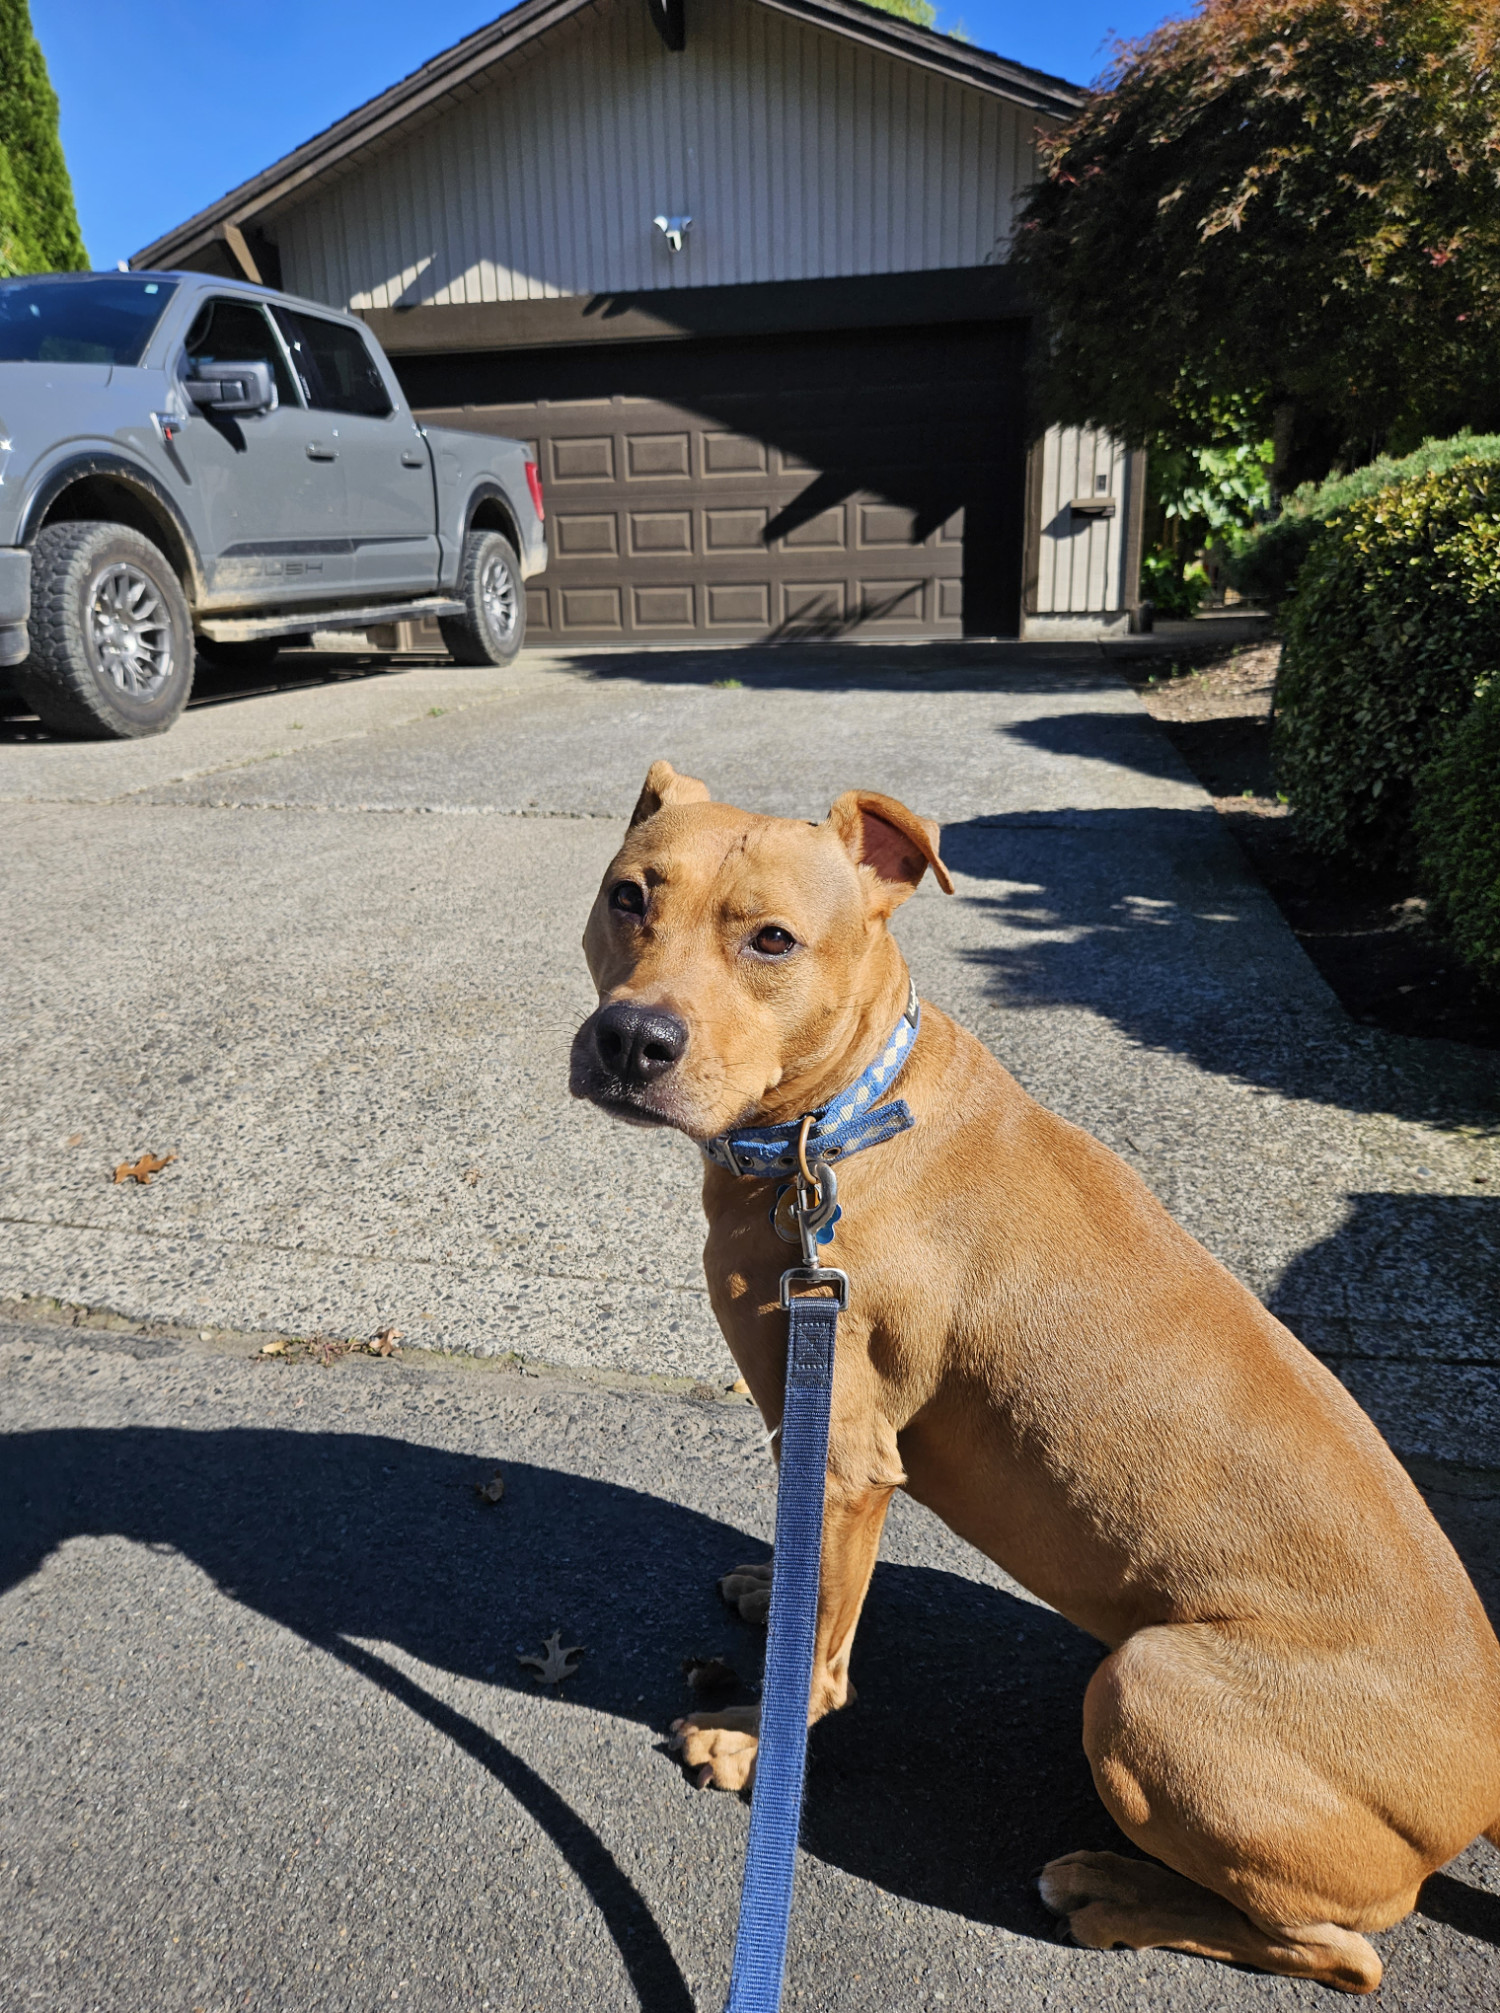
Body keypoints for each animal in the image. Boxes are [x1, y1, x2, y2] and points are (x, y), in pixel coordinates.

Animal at [563, 760, 1497, 1988]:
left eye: (772, 939)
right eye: (628, 895)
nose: (633, 1039)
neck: (840, 1125)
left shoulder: (850, 1453)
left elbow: (818, 1661)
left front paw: (754, 1738)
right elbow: (813, 1591)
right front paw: (775, 1588)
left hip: (1146, 1688)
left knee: (1343, 1950)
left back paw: (1117, 1893)